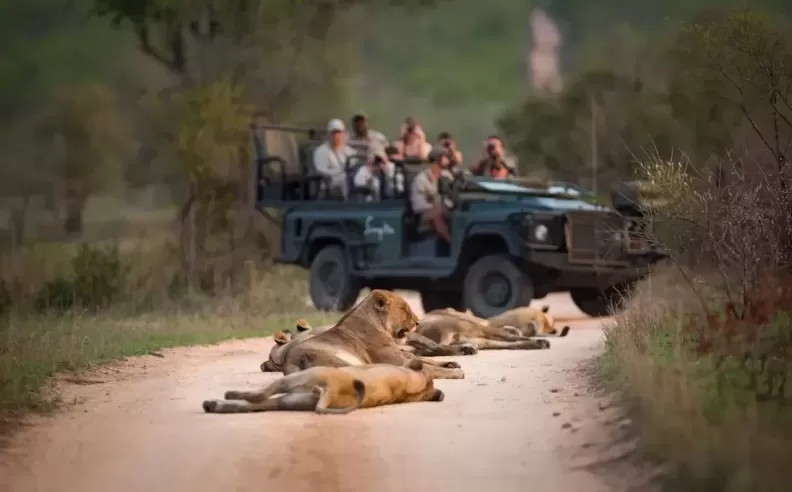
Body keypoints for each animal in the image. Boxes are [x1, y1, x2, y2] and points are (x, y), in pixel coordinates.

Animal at [262, 288, 464, 380]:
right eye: (404, 309)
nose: (417, 322)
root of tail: (290, 364)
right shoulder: (396, 359)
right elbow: (427, 366)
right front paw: (454, 370)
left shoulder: (401, 354)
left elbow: (426, 359)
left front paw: (450, 363)